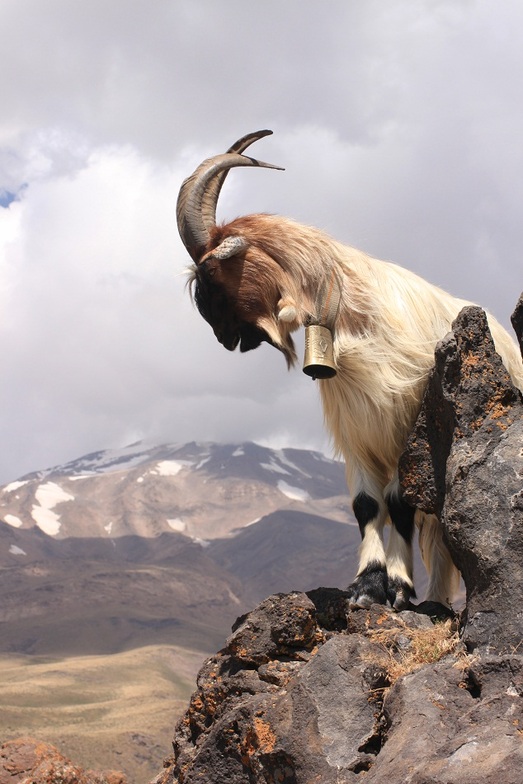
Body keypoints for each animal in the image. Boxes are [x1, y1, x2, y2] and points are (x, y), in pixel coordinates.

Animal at [177, 129, 523, 608]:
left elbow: (399, 505)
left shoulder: (406, 426)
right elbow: (366, 506)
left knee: (438, 530)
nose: (224, 340)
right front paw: (367, 585)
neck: (351, 313)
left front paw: (398, 588)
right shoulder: (357, 427)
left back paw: (434, 601)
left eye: (211, 272)